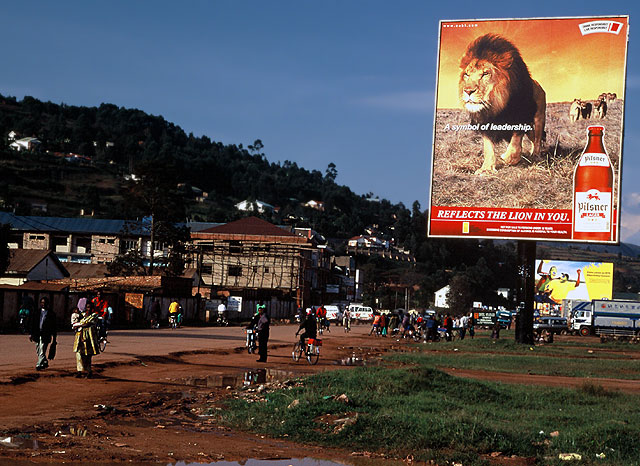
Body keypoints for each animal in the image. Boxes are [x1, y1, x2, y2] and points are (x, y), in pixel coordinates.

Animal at [458, 33, 548, 174]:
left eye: (485, 73)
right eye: (467, 74)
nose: (467, 91)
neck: (496, 105)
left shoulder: (520, 117)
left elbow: (515, 145)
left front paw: (508, 158)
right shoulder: (486, 123)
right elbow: (488, 148)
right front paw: (486, 169)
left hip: (539, 118)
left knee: (538, 139)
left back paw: (536, 156)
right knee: (534, 139)